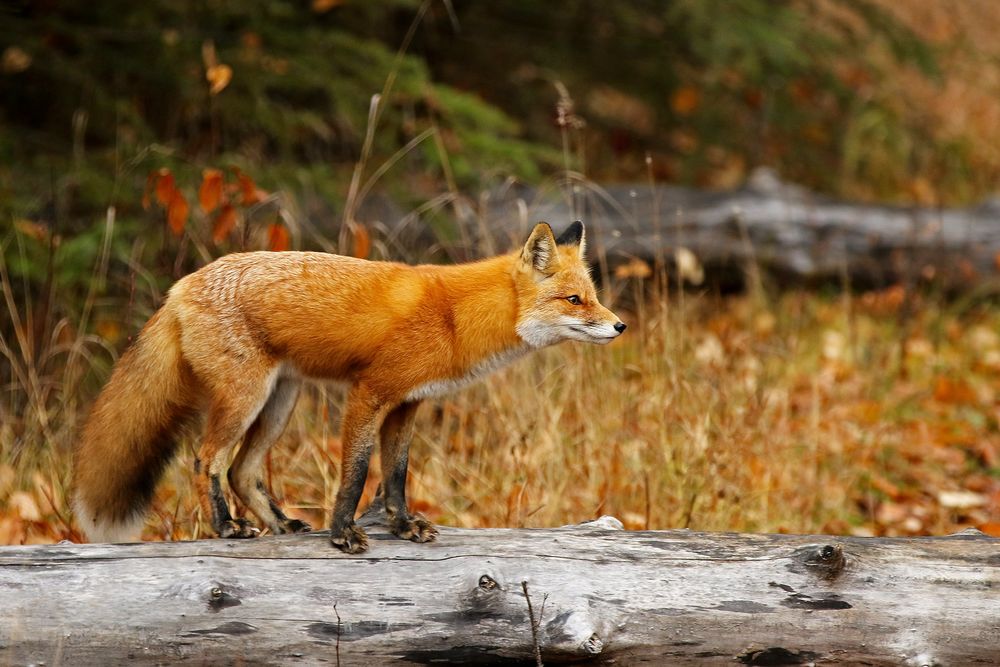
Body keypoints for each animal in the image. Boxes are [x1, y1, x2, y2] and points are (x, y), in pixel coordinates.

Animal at [76, 220, 624, 552]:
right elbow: (357, 474)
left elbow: (396, 476)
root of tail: (180, 286)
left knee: (241, 470)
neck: (454, 318)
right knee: (206, 459)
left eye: (593, 296)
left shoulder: (407, 405)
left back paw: (281, 524)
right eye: (574, 300)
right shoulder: (368, 393)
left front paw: (402, 526)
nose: (620, 326)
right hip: (245, 398)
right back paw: (226, 526)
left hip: (279, 402)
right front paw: (343, 533)